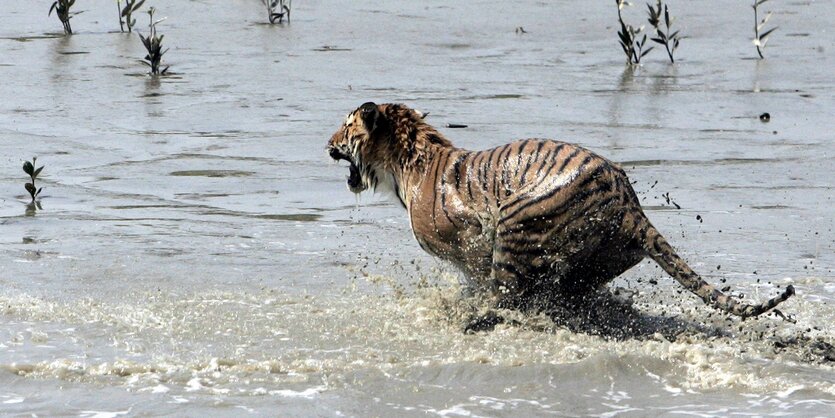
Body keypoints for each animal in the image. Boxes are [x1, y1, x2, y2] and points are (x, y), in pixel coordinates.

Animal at [326, 102, 796, 330]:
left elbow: (477, 275)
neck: (405, 163)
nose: (326, 143)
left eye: (345, 127)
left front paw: (465, 303)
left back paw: (474, 322)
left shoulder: (473, 236)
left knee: (506, 295)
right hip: (602, 257)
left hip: (517, 219)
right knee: (569, 294)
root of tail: (630, 205)